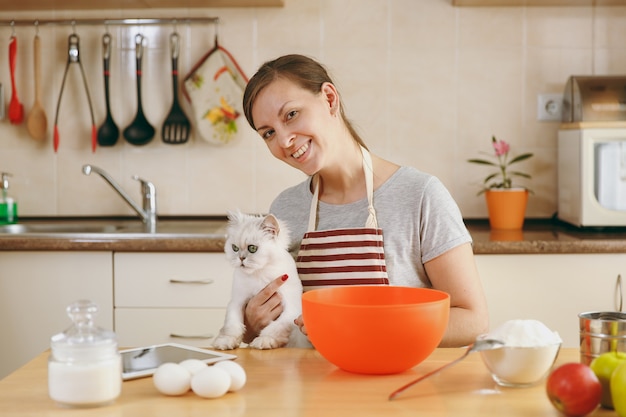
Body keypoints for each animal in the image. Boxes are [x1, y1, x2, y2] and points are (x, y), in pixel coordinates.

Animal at [211, 210, 306, 350]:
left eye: (252, 248)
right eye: (235, 248)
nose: (241, 258)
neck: (259, 273)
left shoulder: (291, 309)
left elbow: (275, 327)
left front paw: (264, 341)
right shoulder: (236, 302)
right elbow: (232, 325)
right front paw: (225, 341)